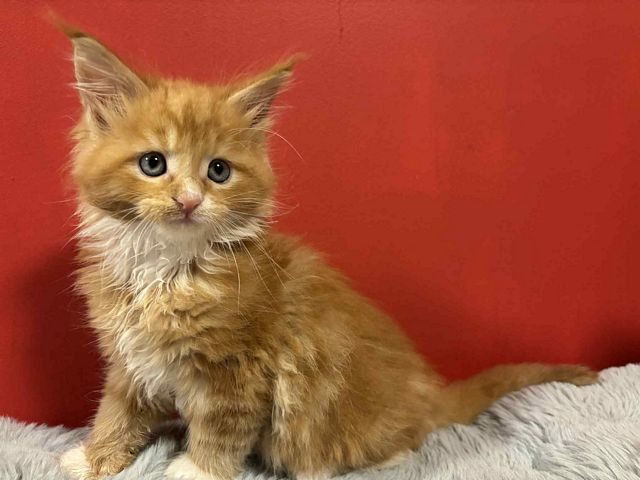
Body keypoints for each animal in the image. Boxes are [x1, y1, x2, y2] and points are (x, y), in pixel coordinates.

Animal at [56, 25, 598, 480]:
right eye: (153, 163)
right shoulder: (129, 355)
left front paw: (196, 470)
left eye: (218, 171)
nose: (189, 201)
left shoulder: (237, 370)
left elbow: (222, 427)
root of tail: (426, 392)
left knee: (404, 441)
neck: (167, 269)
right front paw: (95, 457)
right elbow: (118, 410)